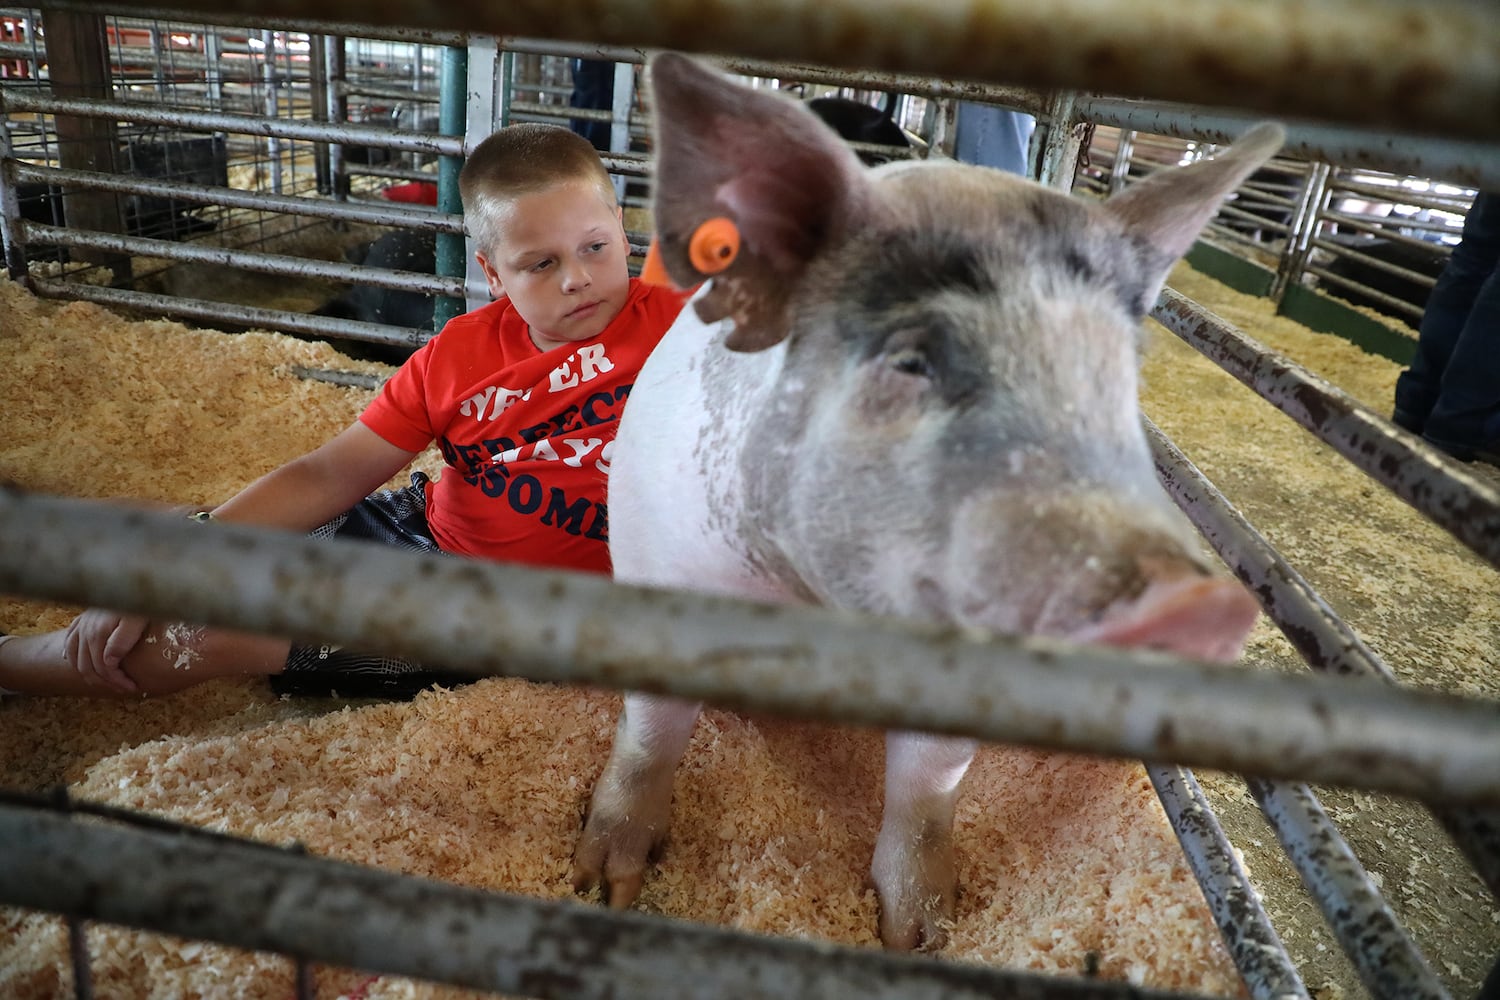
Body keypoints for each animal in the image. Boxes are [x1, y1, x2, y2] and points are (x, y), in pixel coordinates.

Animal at [570, 52, 1278, 953]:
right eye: (912, 361)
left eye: (1121, 376)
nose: (1199, 602)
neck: (822, 609)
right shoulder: (659, 562)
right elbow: (653, 733)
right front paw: (601, 886)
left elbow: (927, 787)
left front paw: (922, 935)